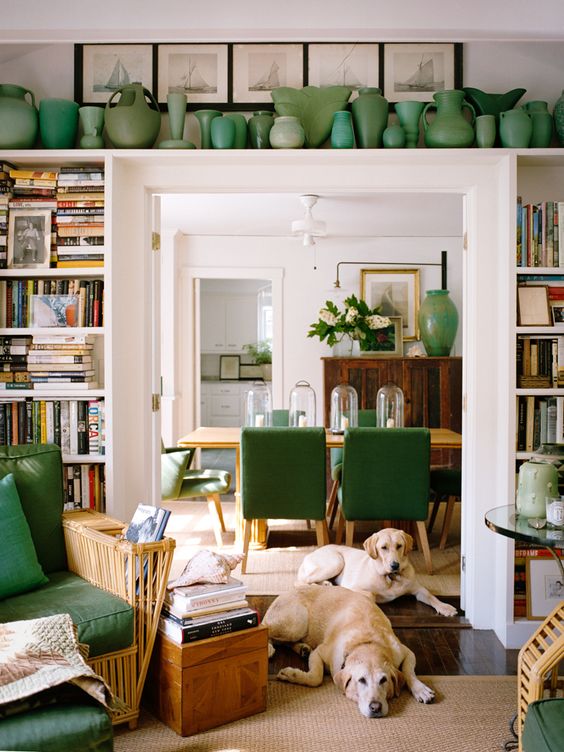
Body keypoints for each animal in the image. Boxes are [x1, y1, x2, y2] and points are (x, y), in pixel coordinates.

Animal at [262, 580, 434, 716]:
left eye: (383, 680)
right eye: (361, 680)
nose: (376, 707)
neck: (366, 643)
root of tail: (287, 591)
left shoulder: (405, 651)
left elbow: (409, 672)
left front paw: (421, 689)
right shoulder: (321, 652)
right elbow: (316, 677)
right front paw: (293, 675)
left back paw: (302, 648)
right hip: (296, 623)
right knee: (267, 629)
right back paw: (269, 647)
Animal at [296, 528, 458, 616]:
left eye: (399, 546)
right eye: (383, 548)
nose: (395, 565)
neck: (391, 577)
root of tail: (311, 553)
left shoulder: (418, 589)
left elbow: (431, 596)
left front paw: (445, 607)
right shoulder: (355, 587)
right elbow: (370, 595)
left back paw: (326, 584)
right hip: (336, 561)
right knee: (301, 582)